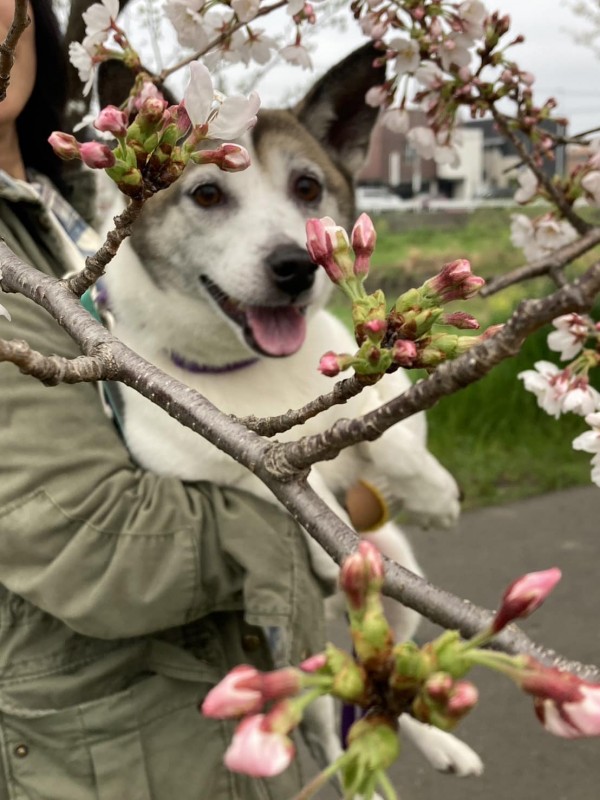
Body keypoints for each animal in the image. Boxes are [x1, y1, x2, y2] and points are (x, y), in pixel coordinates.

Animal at [96, 42, 482, 780]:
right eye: (207, 194)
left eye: (307, 188)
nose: (296, 264)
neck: (252, 370)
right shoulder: (184, 454)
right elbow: (260, 475)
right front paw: (321, 534)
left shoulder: (365, 382)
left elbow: (390, 426)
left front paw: (433, 491)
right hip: (297, 647)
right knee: (333, 723)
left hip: (401, 580)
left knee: (390, 684)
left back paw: (444, 745)